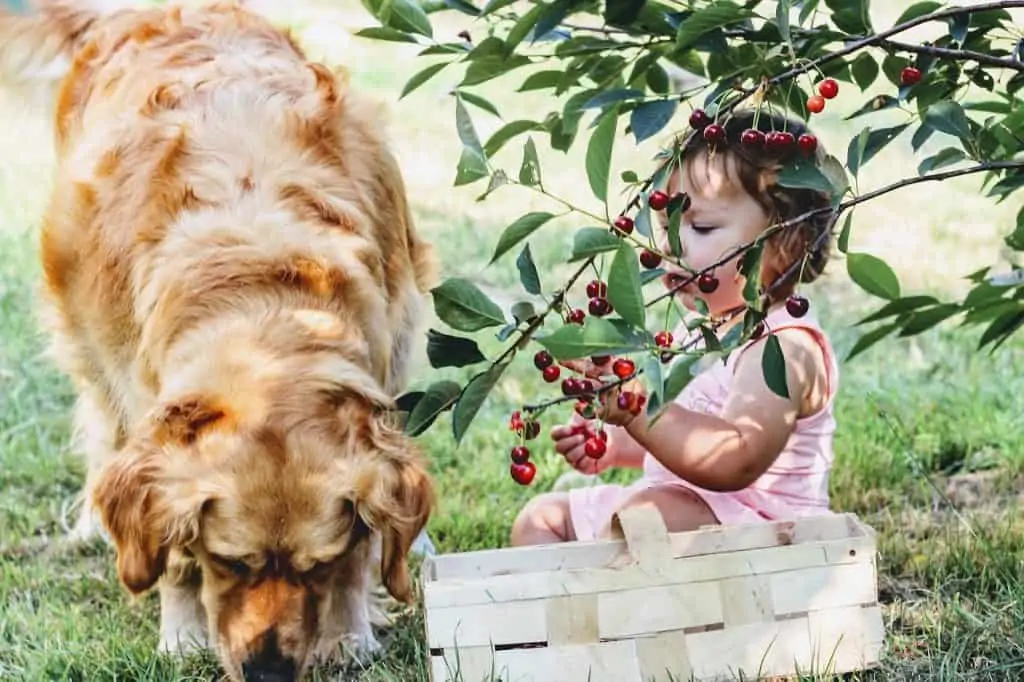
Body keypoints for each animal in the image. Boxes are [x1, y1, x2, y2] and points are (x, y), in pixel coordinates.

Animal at [0, 2, 436, 675]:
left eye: (317, 564)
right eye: (229, 560)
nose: (269, 674)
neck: (267, 303)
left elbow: (366, 542)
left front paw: (348, 631)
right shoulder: (147, 412)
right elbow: (169, 548)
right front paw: (182, 632)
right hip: (84, 336)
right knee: (99, 424)